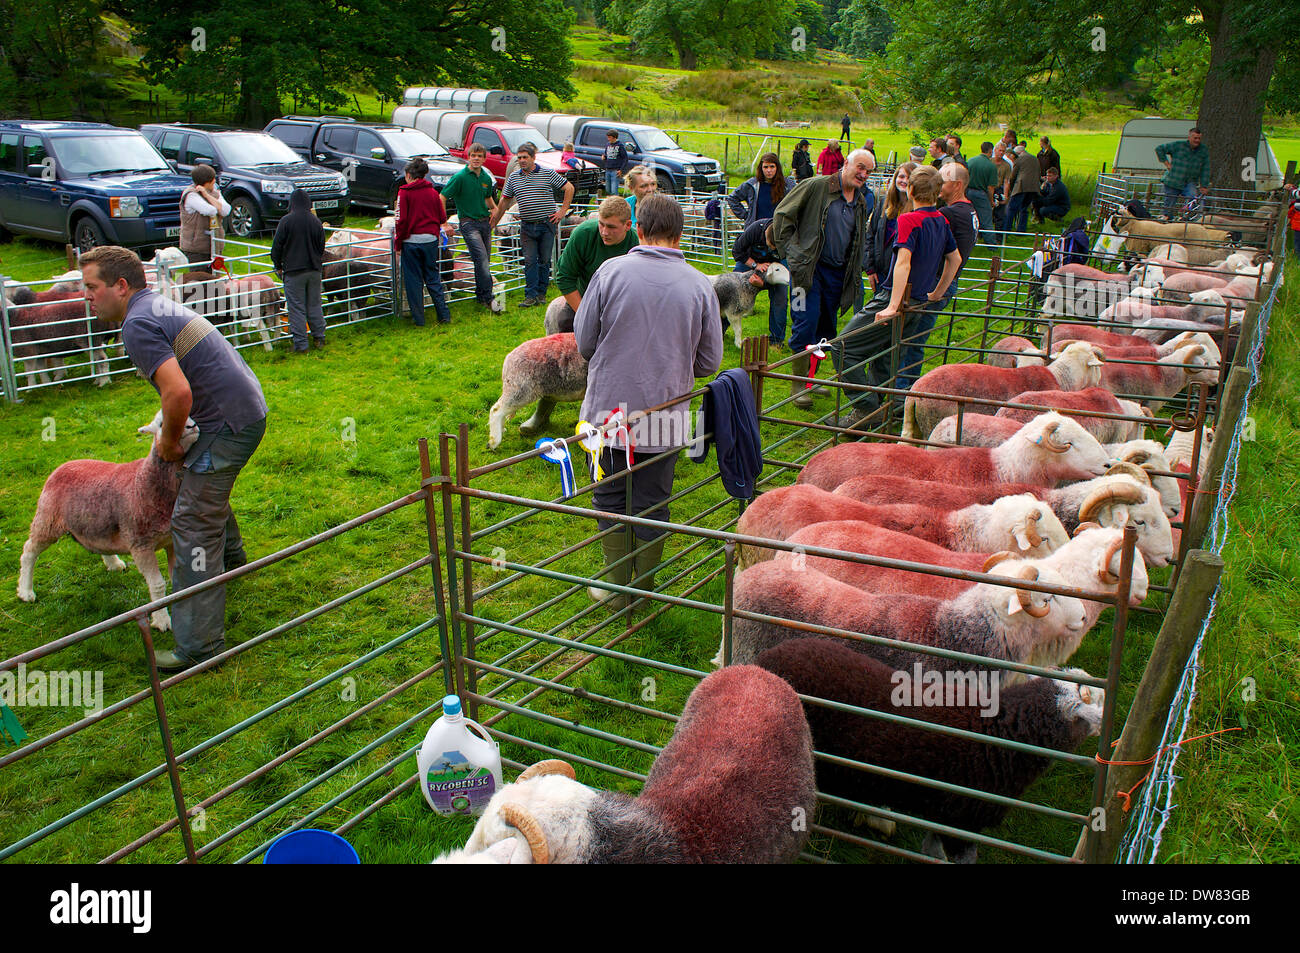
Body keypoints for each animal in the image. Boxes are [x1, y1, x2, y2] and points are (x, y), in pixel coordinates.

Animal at [17, 410, 200, 629]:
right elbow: (157, 585)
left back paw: (113, 563)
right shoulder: (141, 545)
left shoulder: (170, 540)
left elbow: (177, 580)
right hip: (47, 520)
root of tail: (62, 466)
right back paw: (26, 591)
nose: (192, 426)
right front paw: (162, 620)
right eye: (162, 423)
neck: (145, 480)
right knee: (29, 551)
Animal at [759, 639, 1102, 863]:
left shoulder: (943, 813)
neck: (1004, 733)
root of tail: (766, 658)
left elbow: (931, 851)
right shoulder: (963, 821)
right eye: (1097, 703)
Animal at [904, 340, 1107, 436]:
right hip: (932, 421)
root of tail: (915, 392)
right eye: (1097, 367)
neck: (1061, 377)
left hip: (915, 424)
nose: (1099, 382)